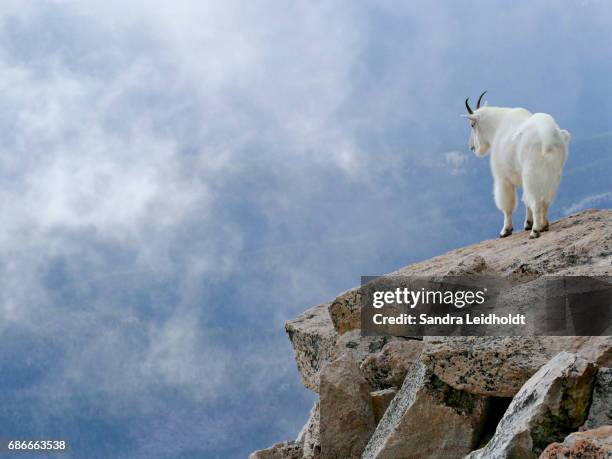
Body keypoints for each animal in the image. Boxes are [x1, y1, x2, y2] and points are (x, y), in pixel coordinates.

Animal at [464, 91, 568, 239]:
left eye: (472, 125)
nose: (471, 147)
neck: (497, 128)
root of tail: (547, 136)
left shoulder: (503, 179)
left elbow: (508, 205)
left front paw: (506, 230)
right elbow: (526, 200)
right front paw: (527, 223)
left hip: (532, 172)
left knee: (536, 201)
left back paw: (535, 231)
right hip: (553, 174)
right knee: (546, 200)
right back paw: (544, 225)